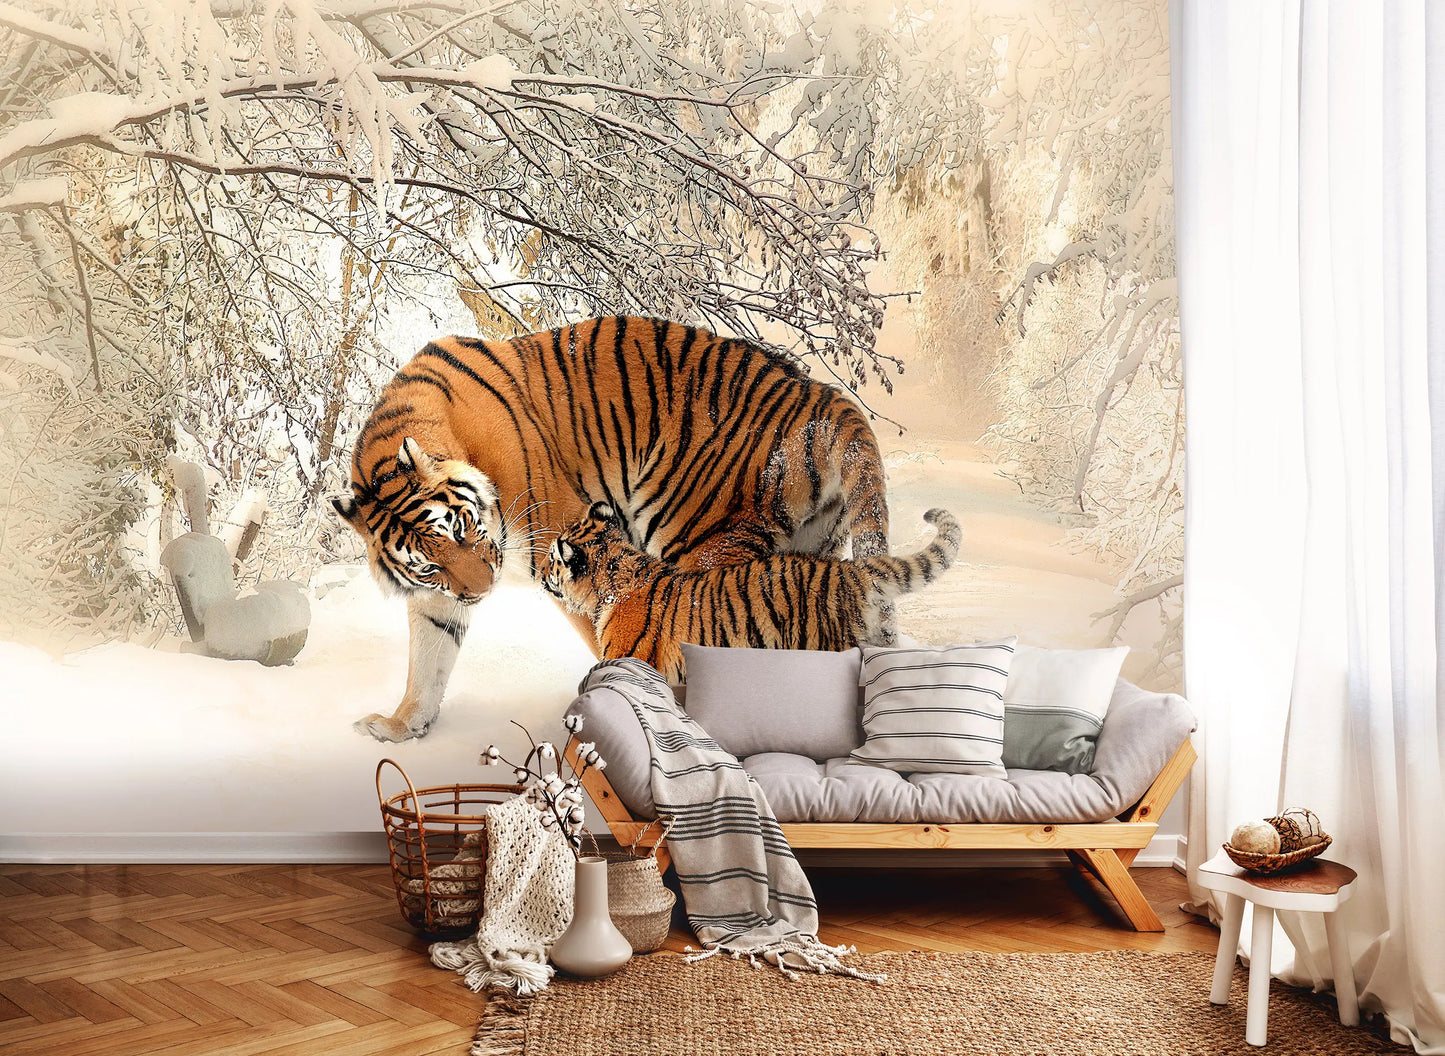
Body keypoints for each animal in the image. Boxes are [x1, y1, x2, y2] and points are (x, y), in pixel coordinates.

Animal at [332, 317, 890, 741]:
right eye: (428, 565)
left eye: (464, 529)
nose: (483, 590)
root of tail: (820, 395)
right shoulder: (438, 595)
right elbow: (428, 659)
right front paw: (401, 727)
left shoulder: (559, 540)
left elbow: (604, 634)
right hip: (807, 558)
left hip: (702, 542)